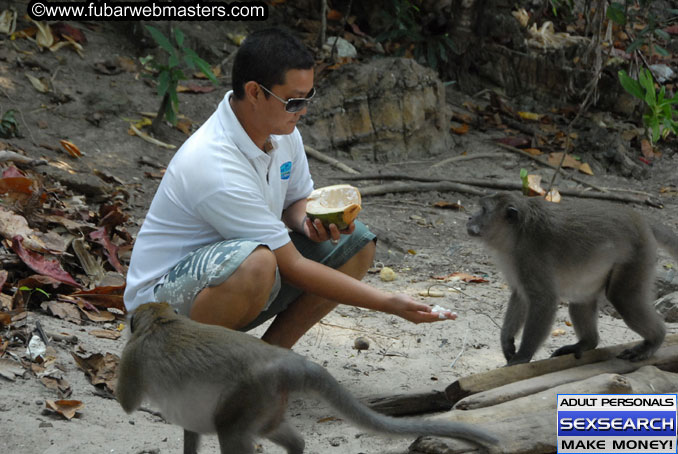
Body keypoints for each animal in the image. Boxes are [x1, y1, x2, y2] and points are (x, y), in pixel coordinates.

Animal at [115, 302, 500, 454]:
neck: (161, 320)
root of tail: (285, 360)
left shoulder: (132, 356)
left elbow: (127, 403)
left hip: (250, 394)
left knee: (232, 432)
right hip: (266, 400)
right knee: (272, 431)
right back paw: (296, 447)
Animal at [468, 192, 678, 366]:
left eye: (483, 210)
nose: (470, 217)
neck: (516, 235)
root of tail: (639, 218)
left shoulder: (530, 256)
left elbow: (544, 300)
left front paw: (522, 356)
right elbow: (520, 295)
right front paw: (507, 342)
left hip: (637, 254)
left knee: (623, 298)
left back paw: (654, 340)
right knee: (581, 301)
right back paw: (586, 343)